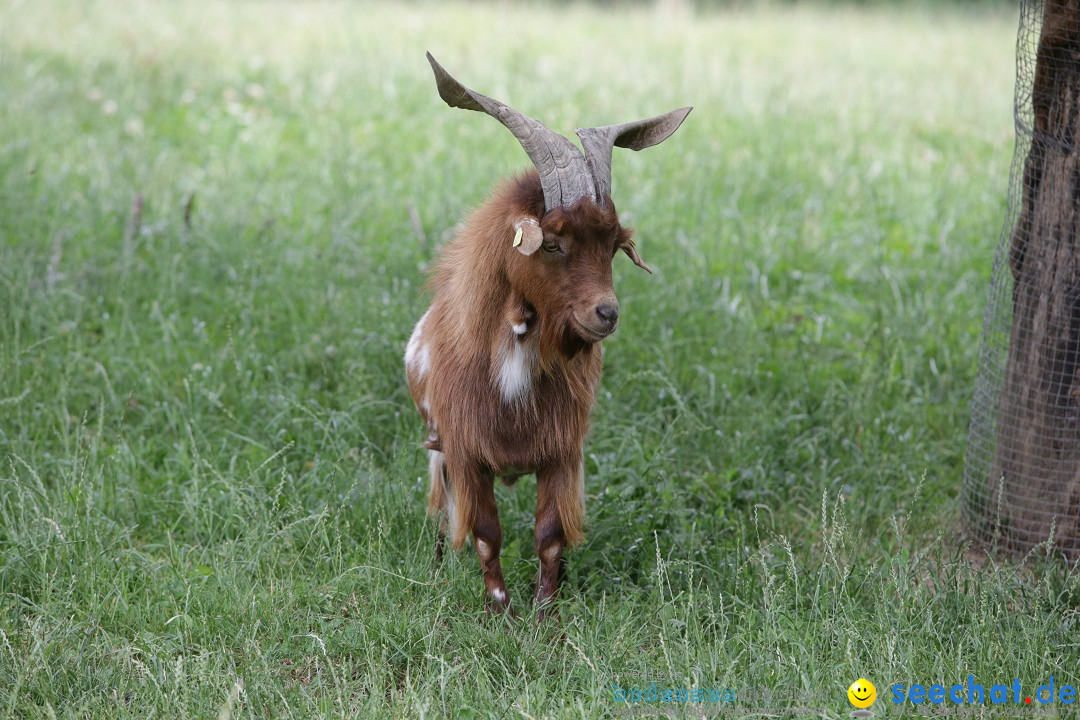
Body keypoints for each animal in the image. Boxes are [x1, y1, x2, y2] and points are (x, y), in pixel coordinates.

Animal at [406, 55, 691, 621]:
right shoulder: (466, 450)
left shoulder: (562, 451)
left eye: (614, 245)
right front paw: (500, 610)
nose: (606, 313)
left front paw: (546, 612)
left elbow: (551, 535)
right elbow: (486, 532)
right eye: (553, 244)